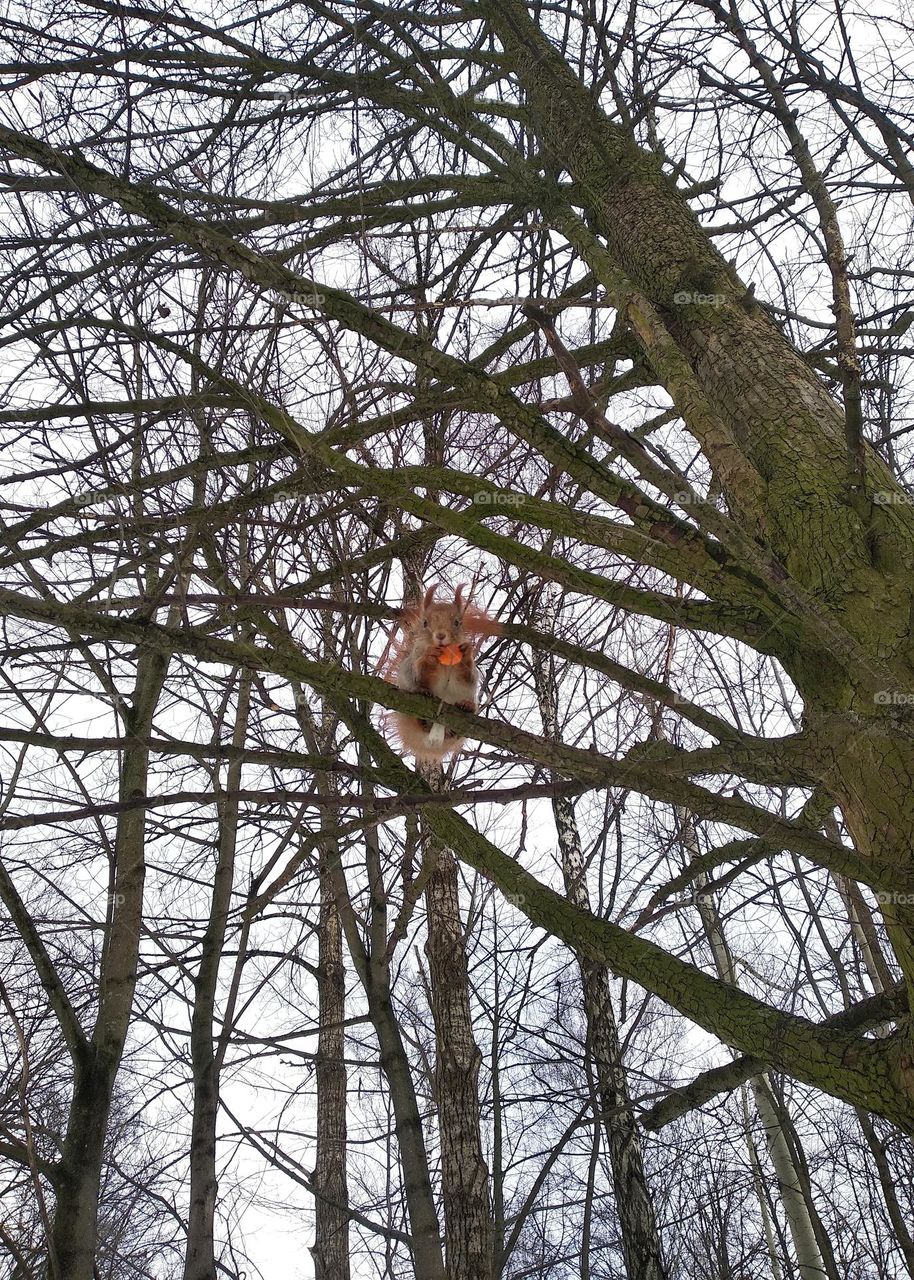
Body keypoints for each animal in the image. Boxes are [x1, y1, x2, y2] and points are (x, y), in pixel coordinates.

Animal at [386, 586, 499, 762]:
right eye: (425, 622)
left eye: (457, 623)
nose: (440, 635)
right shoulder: (414, 660)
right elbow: (418, 671)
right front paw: (429, 658)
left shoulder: (468, 679)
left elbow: (469, 677)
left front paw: (466, 655)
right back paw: (422, 712)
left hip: (467, 696)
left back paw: (466, 707)